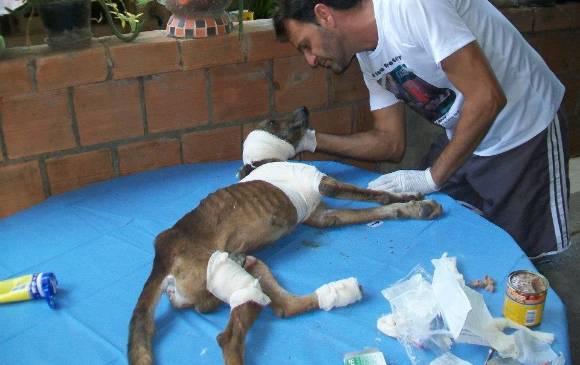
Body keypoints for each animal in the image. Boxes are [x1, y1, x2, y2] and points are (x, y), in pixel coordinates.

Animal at [128, 105, 444, 364]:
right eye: (272, 119)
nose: (304, 108)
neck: (265, 159)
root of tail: (161, 257)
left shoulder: (323, 216)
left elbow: (375, 212)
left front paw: (416, 208)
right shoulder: (325, 184)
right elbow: (377, 196)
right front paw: (408, 194)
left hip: (254, 266)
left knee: (284, 307)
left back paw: (340, 292)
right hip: (225, 274)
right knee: (227, 337)